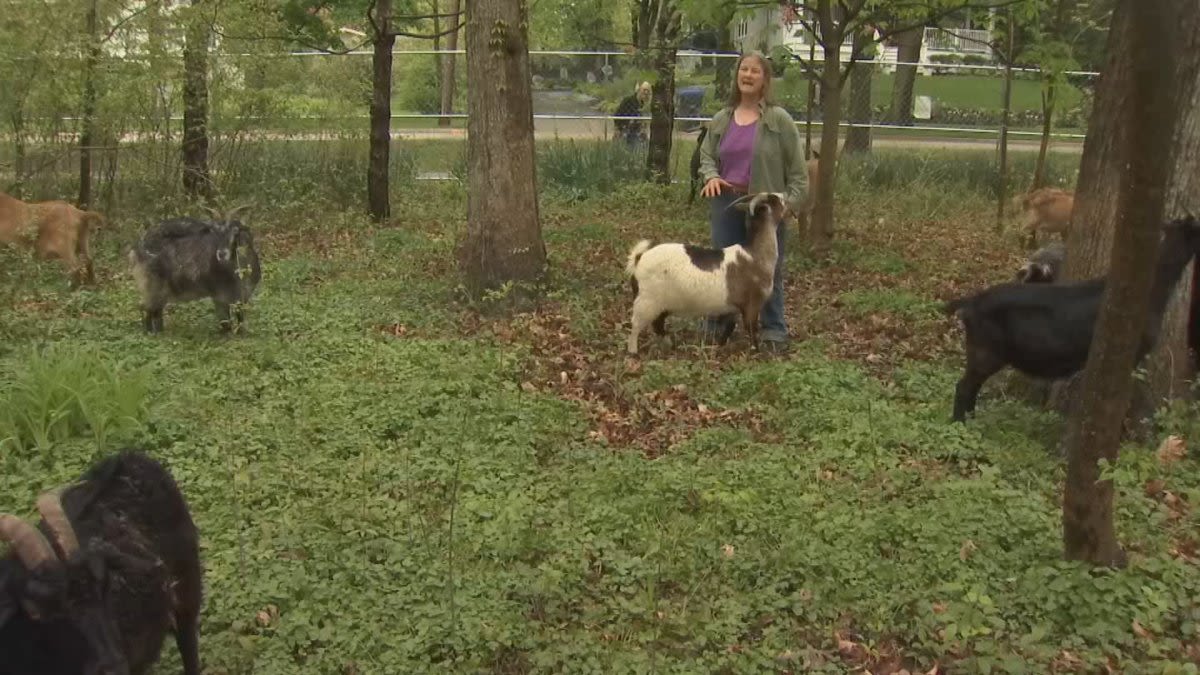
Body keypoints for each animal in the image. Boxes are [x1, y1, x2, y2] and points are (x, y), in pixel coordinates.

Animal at [127, 204, 261, 331]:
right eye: (214, 232)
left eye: (235, 231)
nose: (221, 253)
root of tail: (136, 249)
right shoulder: (219, 296)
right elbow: (225, 323)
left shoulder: (243, 296)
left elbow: (240, 319)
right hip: (153, 285)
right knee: (145, 307)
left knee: (154, 310)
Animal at [628, 189, 787, 353]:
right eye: (775, 200)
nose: (783, 194)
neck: (754, 254)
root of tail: (639, 258)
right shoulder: (752, 305)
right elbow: (751, 328)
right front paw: (755, 350)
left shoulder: (732, 307)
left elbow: (729, 327)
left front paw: (720, 345)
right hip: (646, 301)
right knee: (637, 324)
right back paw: (633, 350)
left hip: (661, 302)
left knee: (658, 323)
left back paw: (668, 344)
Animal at [940, 212, 1200, 420]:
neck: (1157, 287)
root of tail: (970, 302)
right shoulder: (1133, 352)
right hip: (985, 352)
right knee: (963, 387)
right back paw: (960, 423)